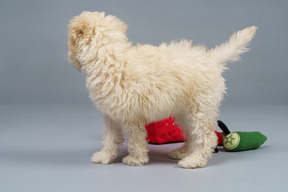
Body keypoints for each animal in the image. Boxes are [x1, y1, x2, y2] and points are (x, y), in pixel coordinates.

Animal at [67, 11, 256, 169]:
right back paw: (183, 152)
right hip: (184, 112)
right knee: (192, 134)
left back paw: (194, 160)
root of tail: (211, 59)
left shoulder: (131, 116)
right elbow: (110, 138)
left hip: (199, 109)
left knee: (205, 136)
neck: (109, 56)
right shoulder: (112, 115)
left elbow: (135, 139)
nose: (69, 57)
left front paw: (135, 159)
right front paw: (105, 156)